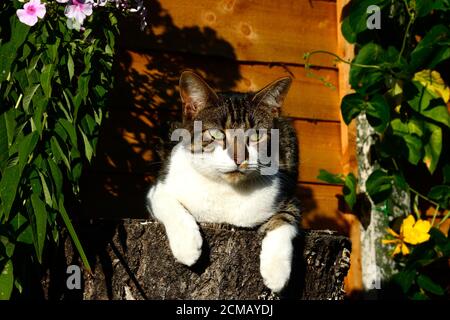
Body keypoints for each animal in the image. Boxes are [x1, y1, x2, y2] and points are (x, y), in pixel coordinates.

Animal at [148, 72, 302, 292]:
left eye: (256, 135)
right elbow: (169, 204)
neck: (227, 188)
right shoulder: (158, 188)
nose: (239, 158)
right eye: (216, 134)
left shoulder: (287, 192)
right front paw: (187, 245)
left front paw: (276, 272)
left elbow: (286, 218)